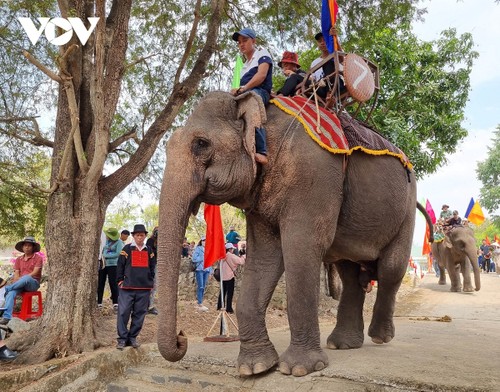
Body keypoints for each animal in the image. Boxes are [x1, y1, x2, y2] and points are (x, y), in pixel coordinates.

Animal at [156, 91, 418, 376]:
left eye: (201, 144)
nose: (181, 338)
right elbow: (264, 256)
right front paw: (255, 368)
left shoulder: (313, 175)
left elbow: (301, 247)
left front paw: (299, 369)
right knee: (349, 273)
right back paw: (342, 344)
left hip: (407, 208)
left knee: (390, 269)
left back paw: (379, 337)